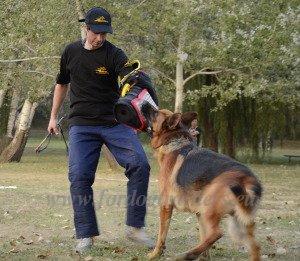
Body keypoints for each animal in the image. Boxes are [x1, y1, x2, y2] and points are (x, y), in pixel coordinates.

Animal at [144, 108, 262, 260]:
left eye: (155, 113)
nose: (144, 104)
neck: (174, 142)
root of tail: (247, 178)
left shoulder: (166, 205)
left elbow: (161, 235)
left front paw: (155, 254)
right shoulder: (199, 213)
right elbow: (203, 237)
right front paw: (205, 257)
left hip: (211, 211)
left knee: (217, 233)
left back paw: (188, 254)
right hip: (237, 224)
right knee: (255, 246)